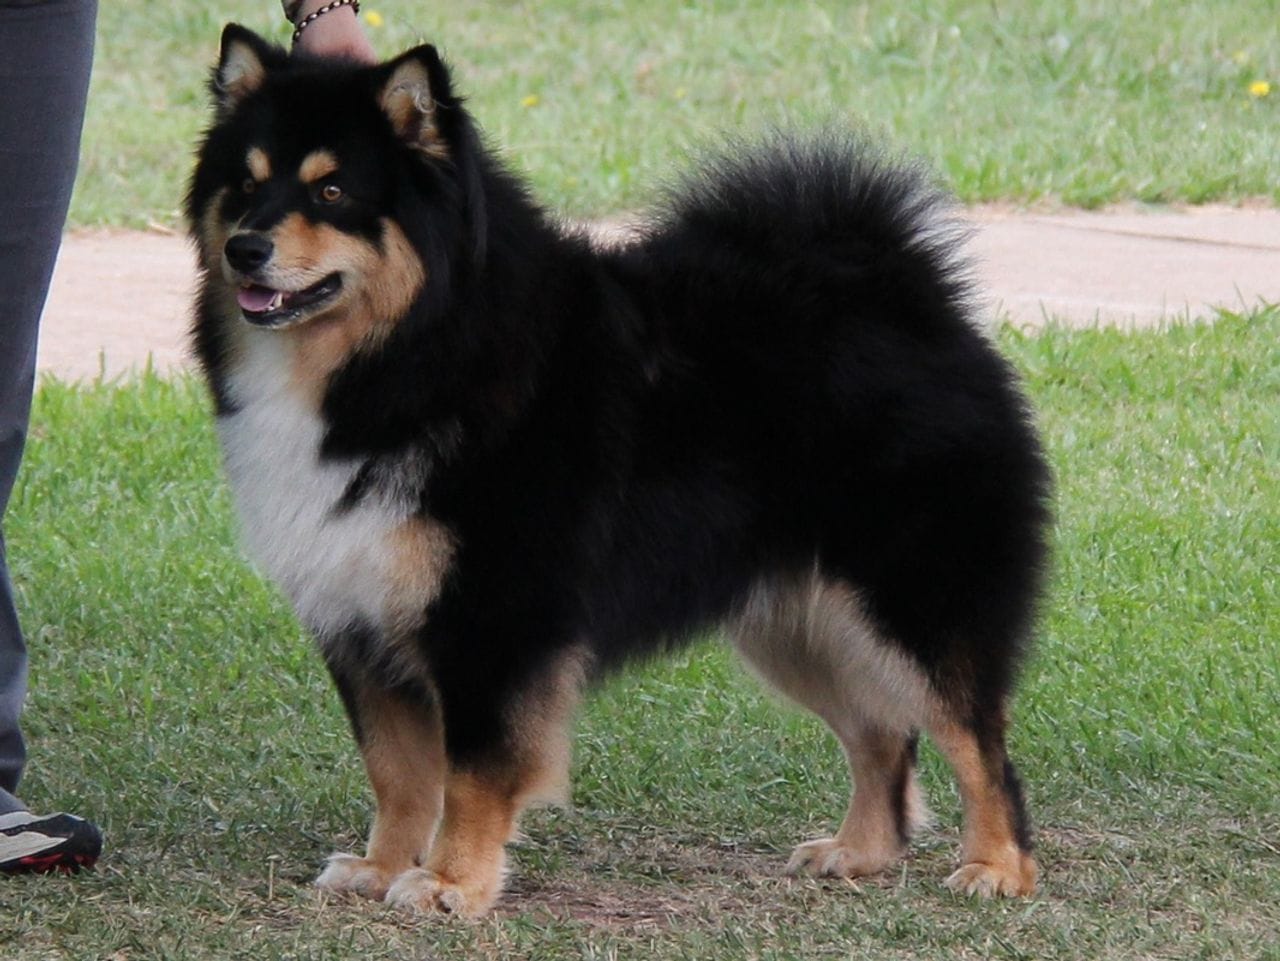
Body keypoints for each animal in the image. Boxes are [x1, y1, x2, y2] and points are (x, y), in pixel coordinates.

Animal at [186, 24, 1049, 916]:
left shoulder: (491, 618)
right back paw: (861, 850)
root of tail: (910, 295)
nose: (244, 247)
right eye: (244, 184)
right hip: (799, 622)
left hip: (909, 598)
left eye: (330, 192)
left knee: (977, 739)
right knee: (883, 734)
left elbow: (471, 773)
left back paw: (997, 866)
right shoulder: (358, 614)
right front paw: (383, 865)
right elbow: (398, 772)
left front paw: (453, 882)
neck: (417, 347)